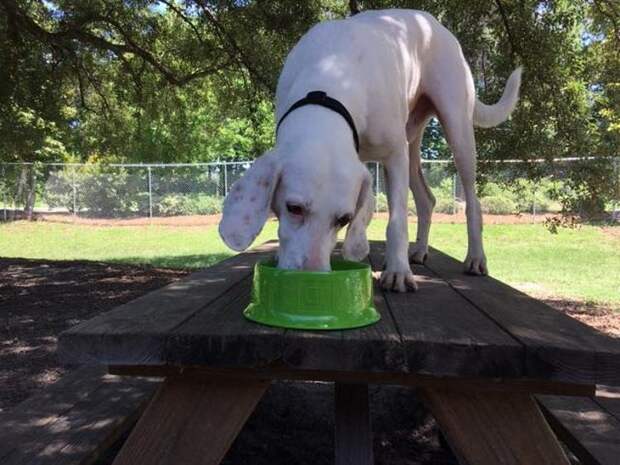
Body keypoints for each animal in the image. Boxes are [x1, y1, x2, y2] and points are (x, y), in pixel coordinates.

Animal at [218, 9, 520, 292]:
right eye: (294, 208)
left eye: (344, 219)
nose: (311, 277)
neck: (332, 76)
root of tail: (434, 24)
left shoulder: (394, 156)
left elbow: (397, 222)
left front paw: (398, 273)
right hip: (412, 144)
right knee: (426, 200)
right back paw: (419, 251)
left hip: (456, 128)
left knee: (472, 201)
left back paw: (475, 258)